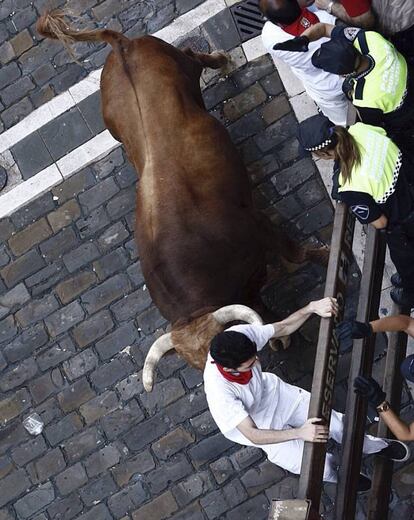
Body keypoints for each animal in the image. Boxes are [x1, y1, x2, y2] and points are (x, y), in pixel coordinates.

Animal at [36, 11, 326, 390]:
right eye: (194, 365)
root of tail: (122, 45)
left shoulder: (257, 223)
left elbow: (296, 254)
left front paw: (324, 255)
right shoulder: (243, 286)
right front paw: (279, 335)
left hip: (183, 64)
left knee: (193, 55)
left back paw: (222, 60)